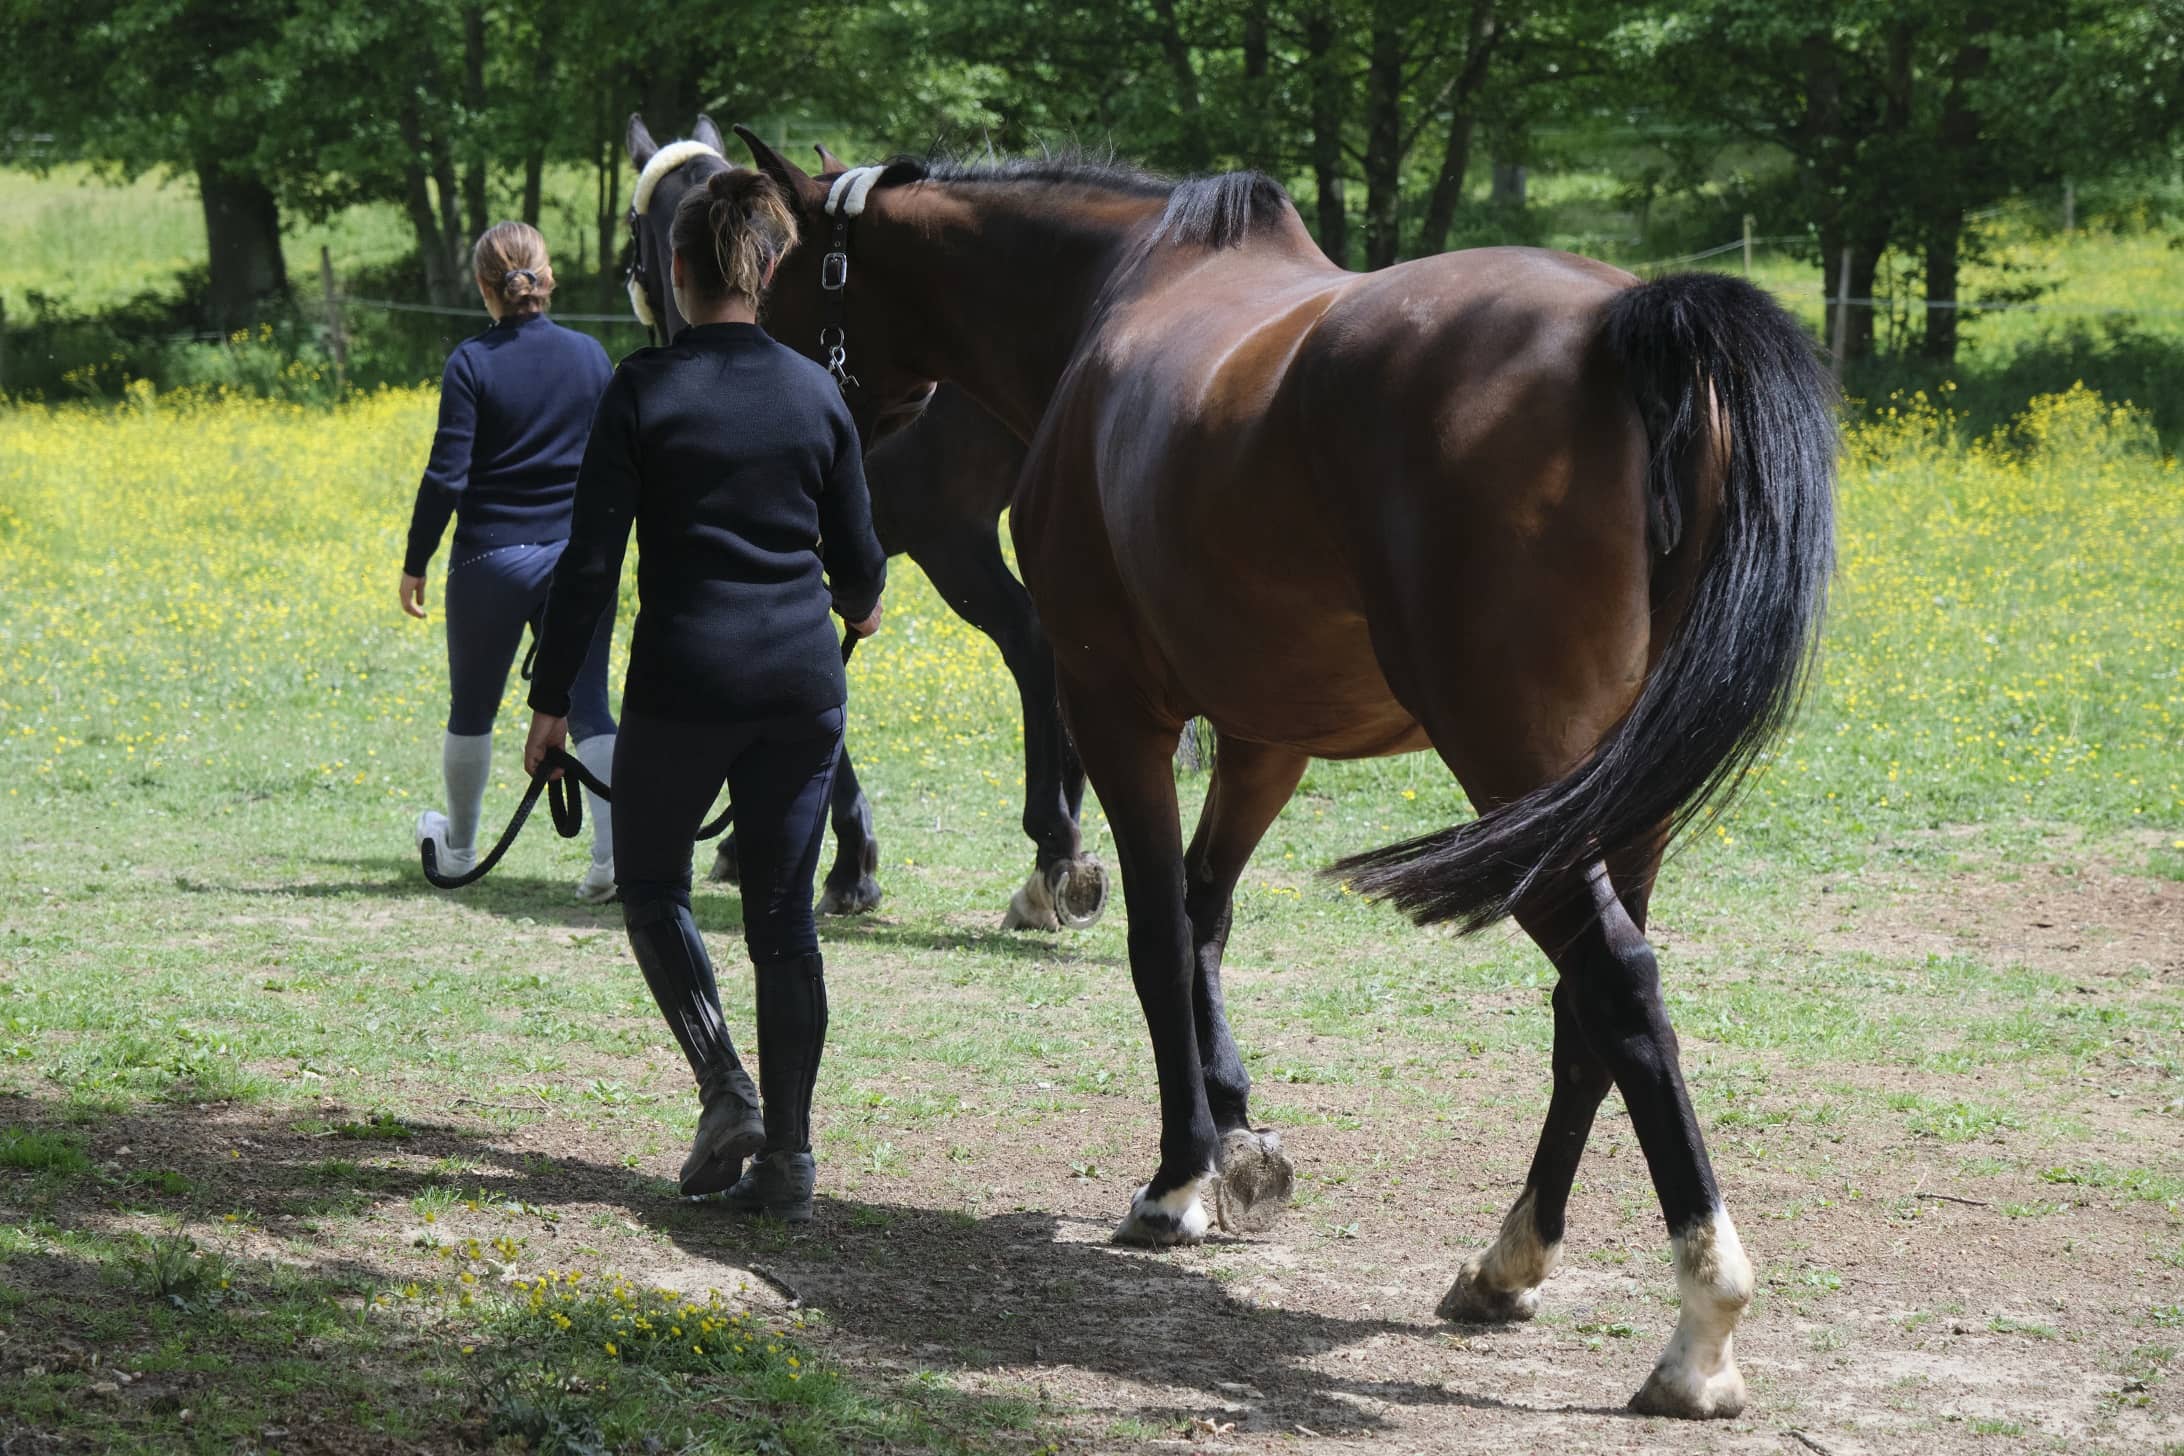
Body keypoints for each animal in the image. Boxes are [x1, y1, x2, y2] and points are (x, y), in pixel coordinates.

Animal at [738, 130, 1843, 1414]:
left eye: (791, 282)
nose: (831, 471)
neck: (1113, 295)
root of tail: (1628, 326)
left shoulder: (1116, 711)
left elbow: (1159, 933)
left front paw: (1178, 1177)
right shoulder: (1268, 737)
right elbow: (1206, 914)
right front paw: (1234, 1125)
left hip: (1519, 772)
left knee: (1615, 987)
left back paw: (1700, 1327)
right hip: (1618, 801)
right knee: (1593, 1013)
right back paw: (1510, 1261)